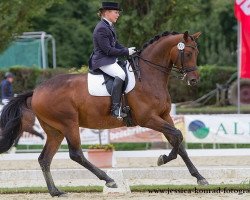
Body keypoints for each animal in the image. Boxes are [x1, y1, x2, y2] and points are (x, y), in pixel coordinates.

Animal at [0, 31, 209, 197]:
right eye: (188, 53)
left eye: (197, 52)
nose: (194, 80)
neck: (149, 75)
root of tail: (36, 91)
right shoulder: (148, 119)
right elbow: (178, 136)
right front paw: (163, 158)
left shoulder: (164, 116)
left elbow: (178, 143)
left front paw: (199, 177)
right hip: (69, 124)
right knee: (76, 154)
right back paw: (108, 179)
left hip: (55, 130)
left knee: (45, 159)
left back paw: (56, 191)